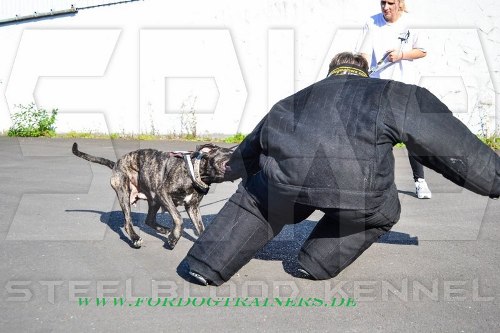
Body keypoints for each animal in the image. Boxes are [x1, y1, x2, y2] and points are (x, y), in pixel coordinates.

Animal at [71, 141, 233, 248]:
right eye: (232, 153)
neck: (195, 172)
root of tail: (116, 163)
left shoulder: (192, 207)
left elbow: (200, 227)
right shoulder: (164, 194)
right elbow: (178, 218)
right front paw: (174, 238)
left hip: (154, 200)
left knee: (149, 220)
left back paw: (162, 229)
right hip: (125, 194)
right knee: (128, 222)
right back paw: (135, 238)